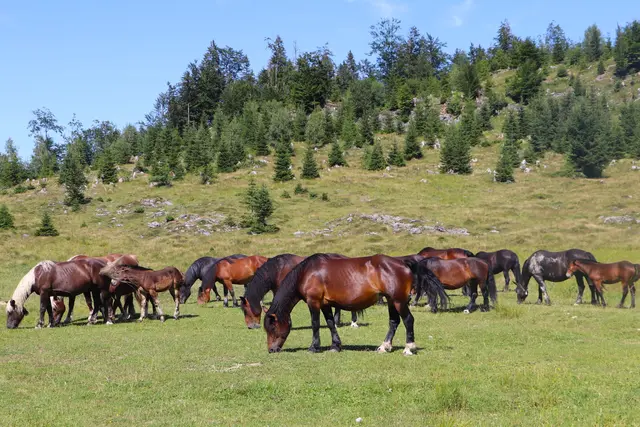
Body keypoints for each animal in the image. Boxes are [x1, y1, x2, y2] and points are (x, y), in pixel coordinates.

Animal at [263, 254, 448, 355]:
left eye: (272, 328)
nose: (271, 350)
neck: (307, 272)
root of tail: (403, 262)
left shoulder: (313, 302)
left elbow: (315, 324)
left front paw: (314, 347)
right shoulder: (325, 304)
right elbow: (330, 323)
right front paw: (335, 346)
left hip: (398, 301)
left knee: (408, 320)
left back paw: (409, 348)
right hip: (391, 301)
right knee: (394, 322)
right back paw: (384, 346)